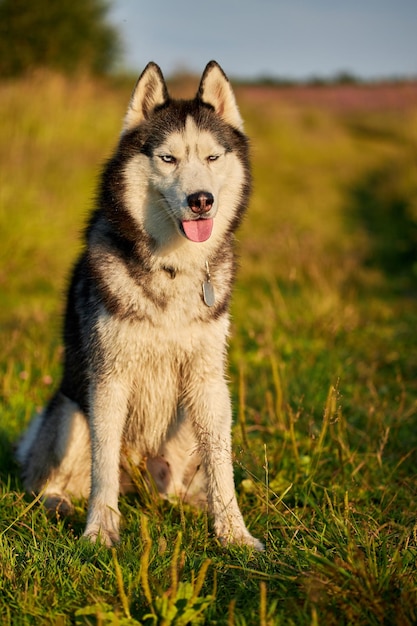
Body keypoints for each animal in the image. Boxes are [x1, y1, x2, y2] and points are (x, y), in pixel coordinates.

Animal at [17, 61, 264, 548]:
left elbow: (221, 465)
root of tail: (141, 479)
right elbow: (102, 467)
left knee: (177, 486)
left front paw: (233, 532)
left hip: (182, 427)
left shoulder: (209, 381)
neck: (171, 268)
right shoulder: (108, 380)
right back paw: (60, 502)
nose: (201, 200)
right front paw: (100, 529)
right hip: (71, 411)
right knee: (50, 481)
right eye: (168, 159)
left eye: (212, 158)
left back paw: (192, 503)